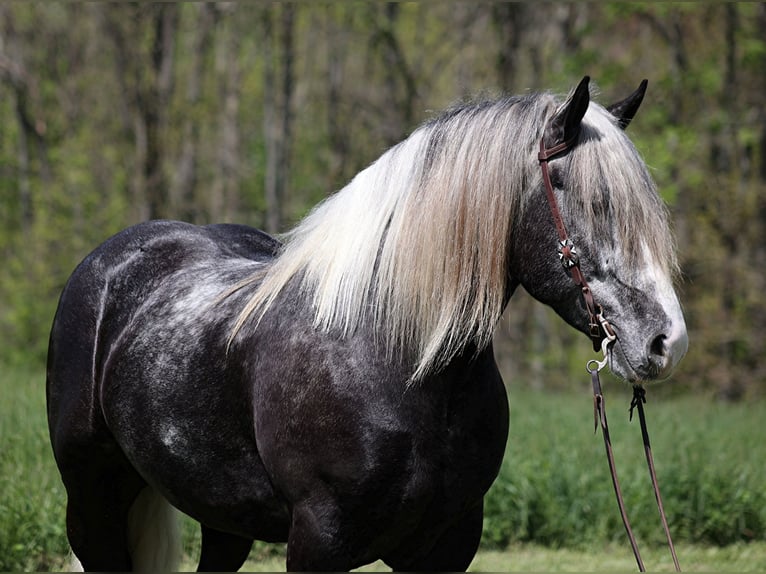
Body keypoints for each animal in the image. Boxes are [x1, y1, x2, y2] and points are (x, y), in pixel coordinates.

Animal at [46, 76, 687, 572]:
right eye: (596, 203)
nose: (667, 342)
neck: (389, 358)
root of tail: (111, 261)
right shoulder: (317, 543)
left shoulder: (446, 546)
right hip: (93, 502)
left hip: (222, 517)